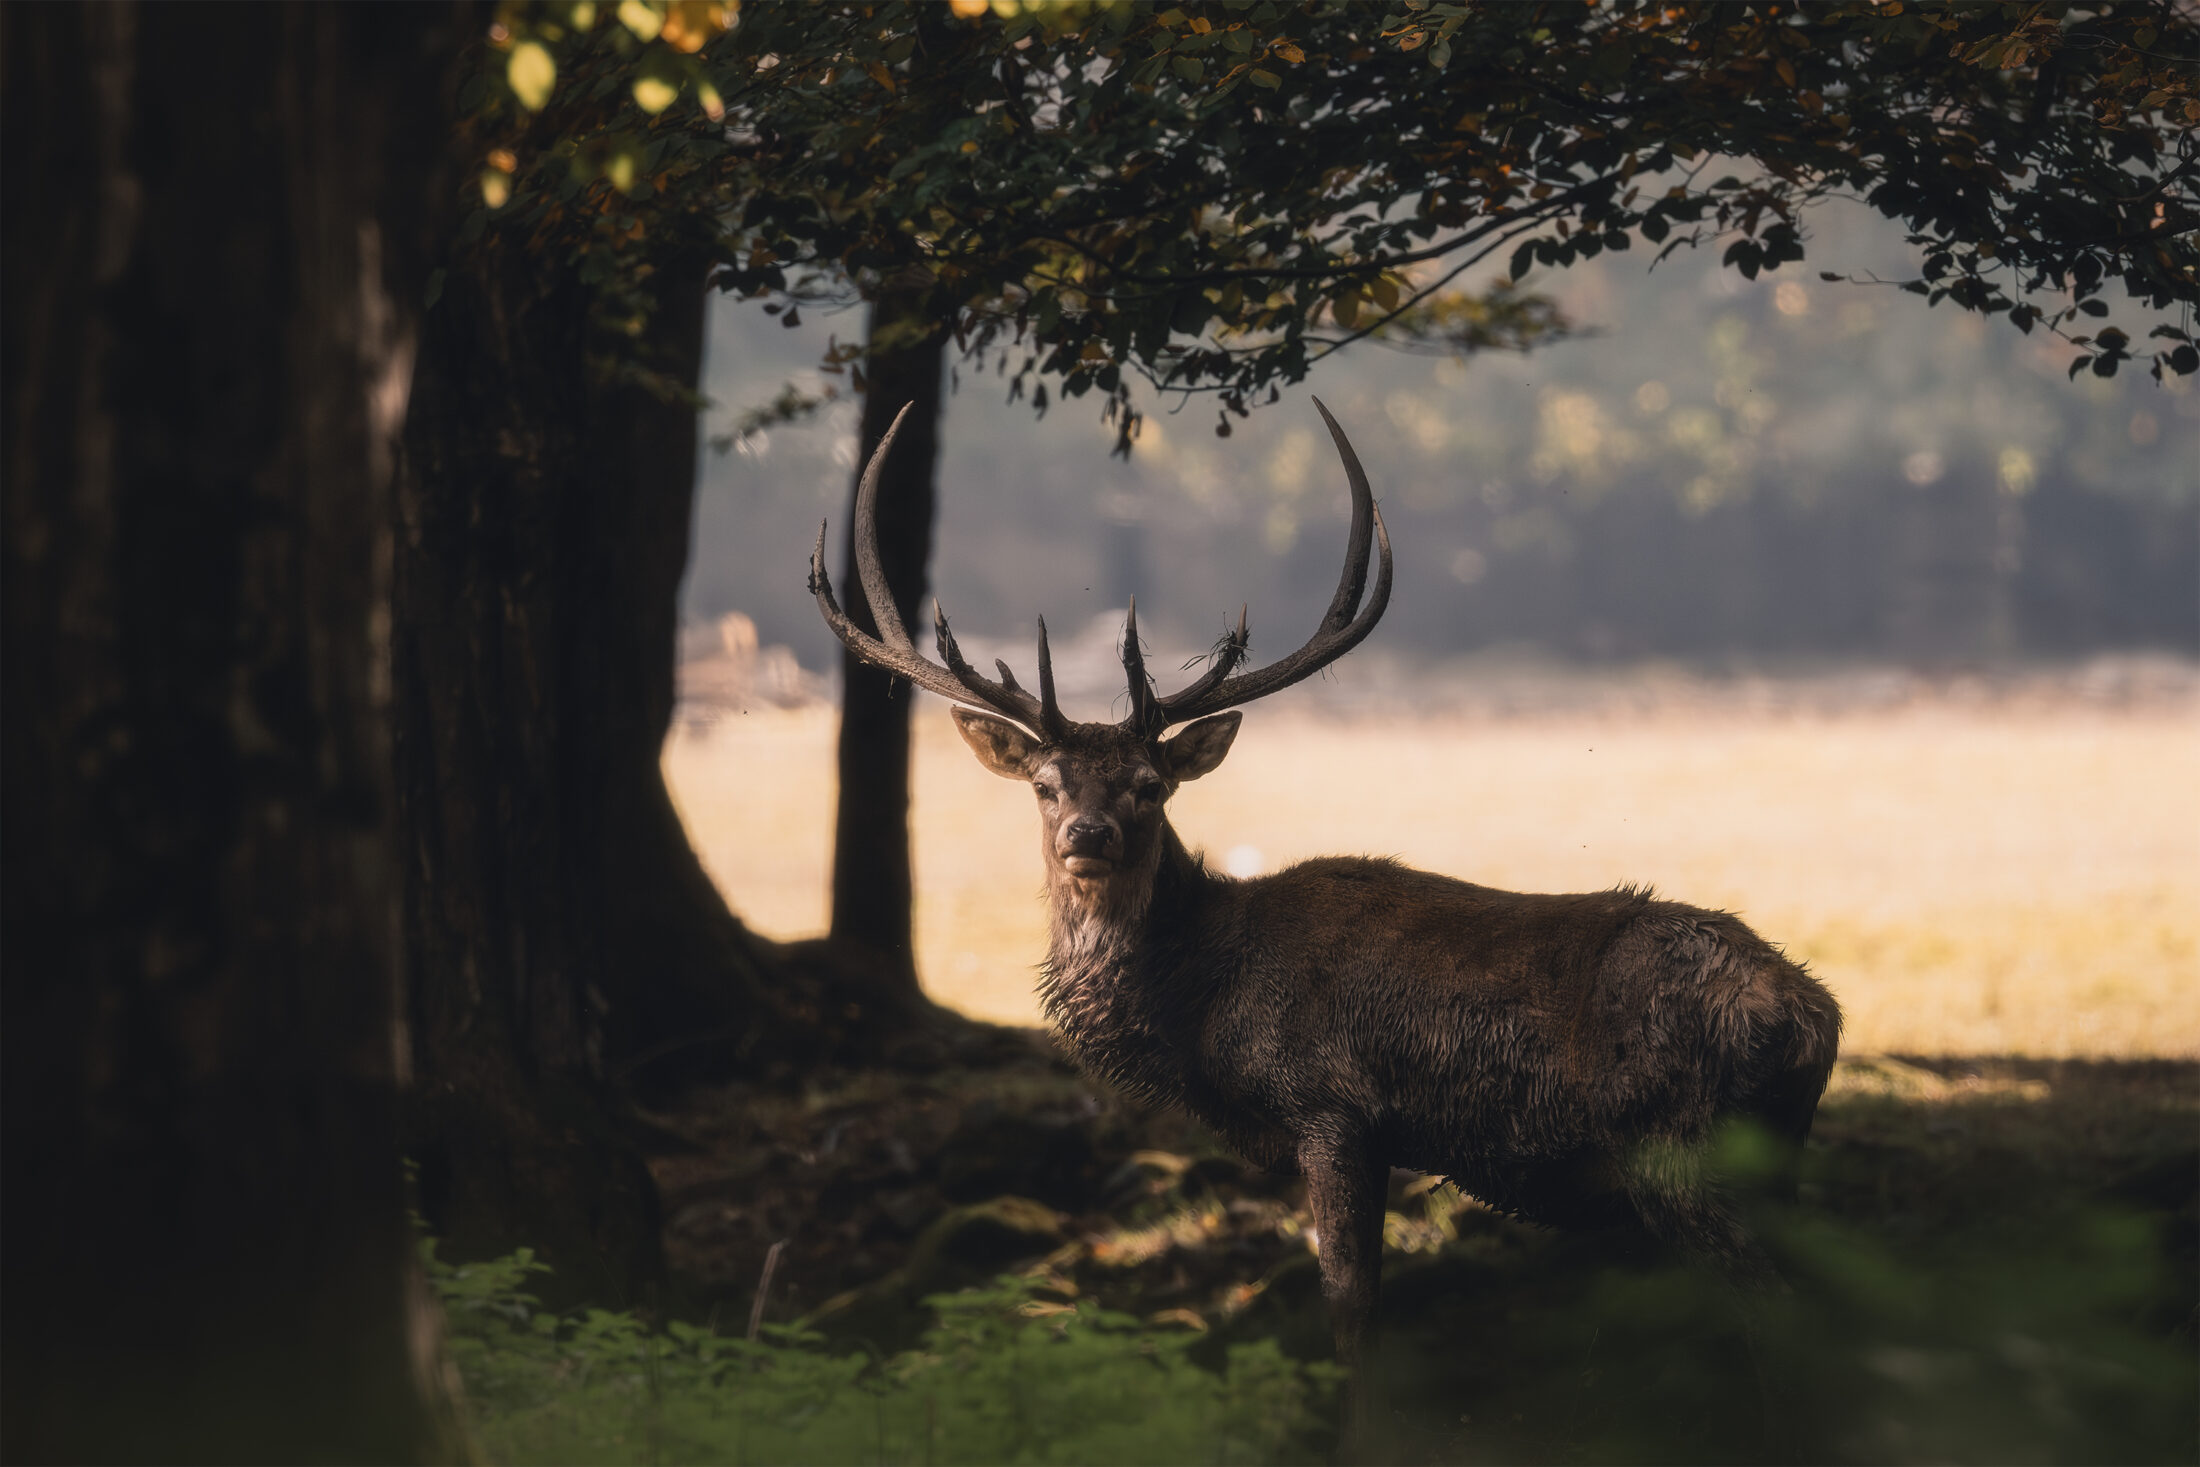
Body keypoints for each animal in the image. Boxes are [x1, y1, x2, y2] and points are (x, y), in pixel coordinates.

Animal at [809, 398, 1843, 1441]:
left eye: (1149, 783)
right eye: (1045, 783)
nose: (1087, 836)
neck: (1202, 1006)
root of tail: (1812, 1013)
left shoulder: (1334, 1106)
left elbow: (1352, 1306)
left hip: (1682, 1143)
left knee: (1779, 1305)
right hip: (1771, 1149)